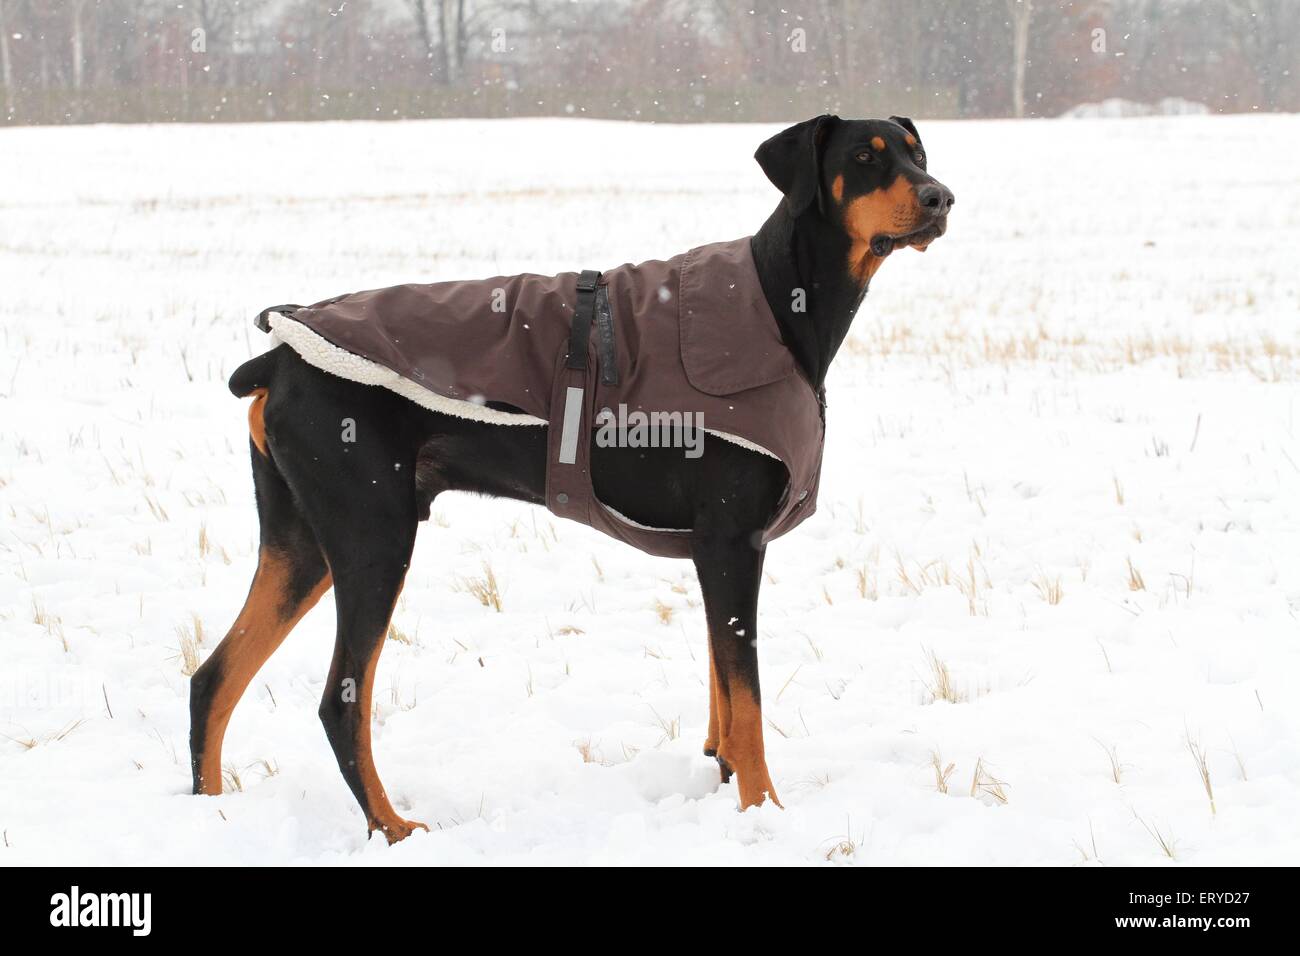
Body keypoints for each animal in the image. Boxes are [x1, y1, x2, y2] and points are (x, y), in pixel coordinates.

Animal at [188, 115, 951, 842]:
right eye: (864, 157)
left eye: (917, 152)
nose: (940, 197)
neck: (778, 301)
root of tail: (275, 360)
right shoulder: (735, 541)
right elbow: (750, 705)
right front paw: (765, 810)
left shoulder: (715, 552)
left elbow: (724, 696)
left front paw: (726, 780)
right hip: (374, 536)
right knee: (339, 704)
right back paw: (393, 827)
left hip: (301, 544)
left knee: (212, 679)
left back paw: (211, 812)